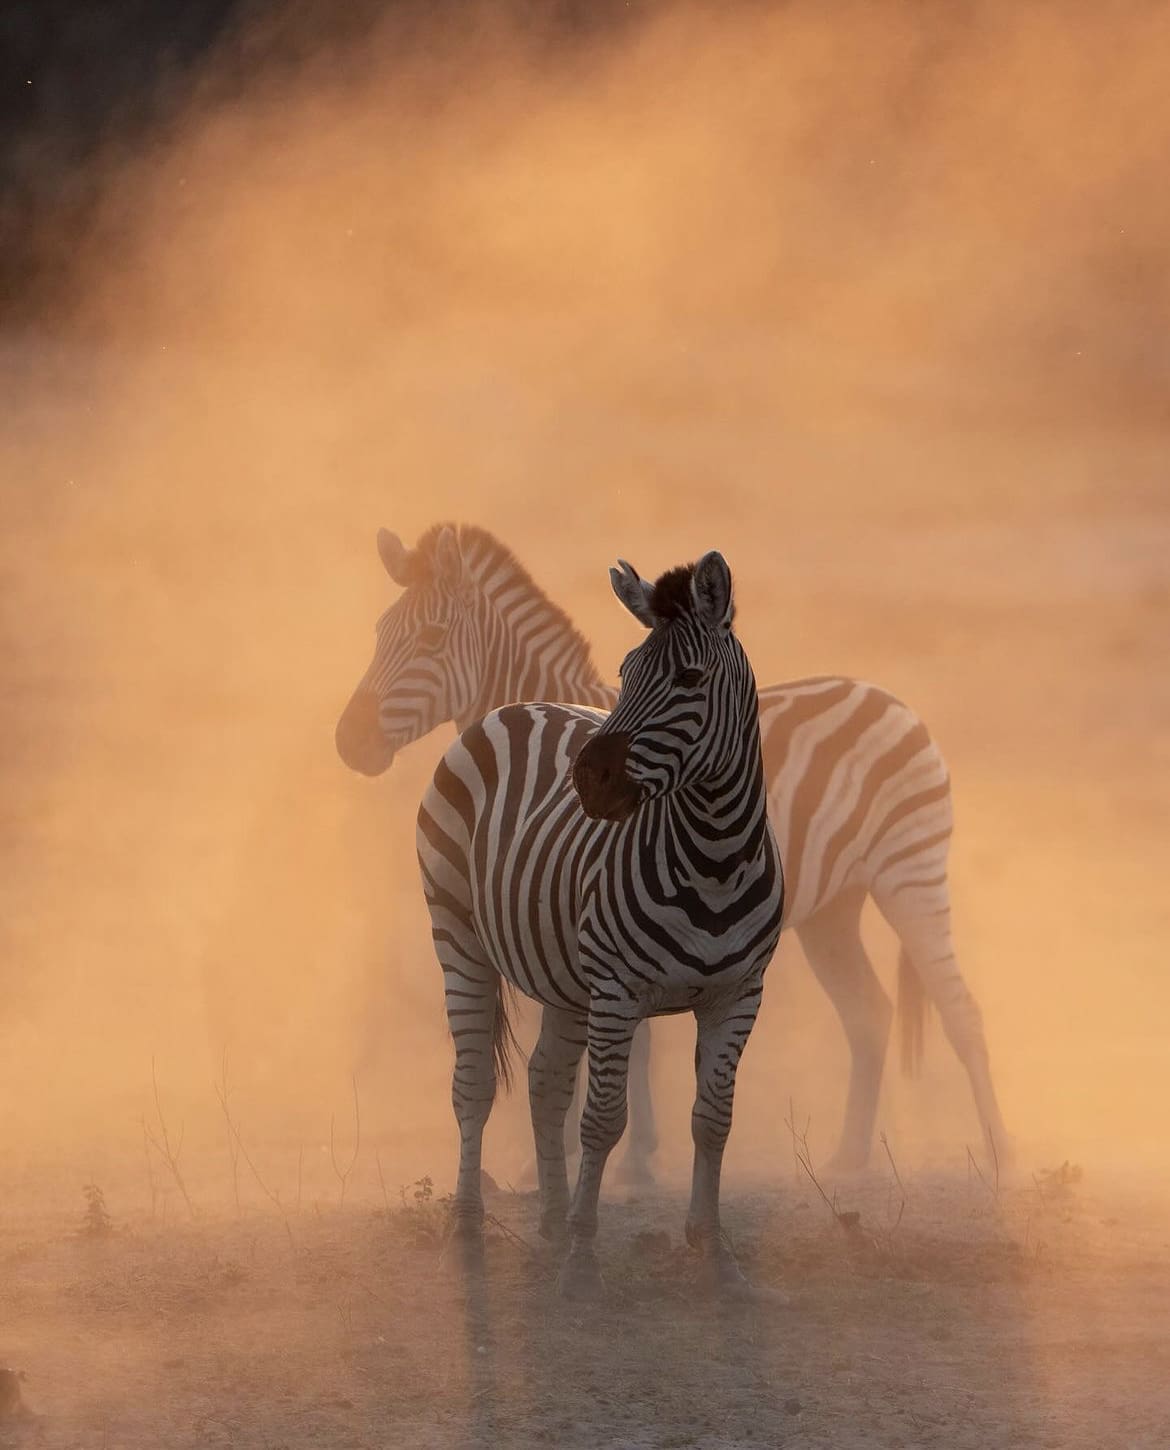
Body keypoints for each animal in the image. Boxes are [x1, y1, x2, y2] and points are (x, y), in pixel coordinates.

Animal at [336, 522, 1010, 1173]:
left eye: (430, 638)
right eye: (378, 634)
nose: (349, 741)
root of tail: (891, 698)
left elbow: (632, 1045)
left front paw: (625, 1156)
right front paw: (600, 1153)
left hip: (910, 872)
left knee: (962, 1011)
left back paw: (999, 1153)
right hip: (834, 911)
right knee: (870, 1015)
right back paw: (850, 1157)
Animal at [418, 550, 784, 1296]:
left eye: (689, 678)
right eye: (625, 673)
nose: (589, 780)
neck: (716, 856)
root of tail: (510, 706)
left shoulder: (738, 995)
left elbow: (713, 1120)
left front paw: (715, 1253)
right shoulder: (617, 989)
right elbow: (604, 1118)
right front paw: (585, 1259)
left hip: (564, 977)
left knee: (544, 1081)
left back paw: (552, 1222)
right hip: (458, 935)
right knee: (474, 1084)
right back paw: (470, 1226)